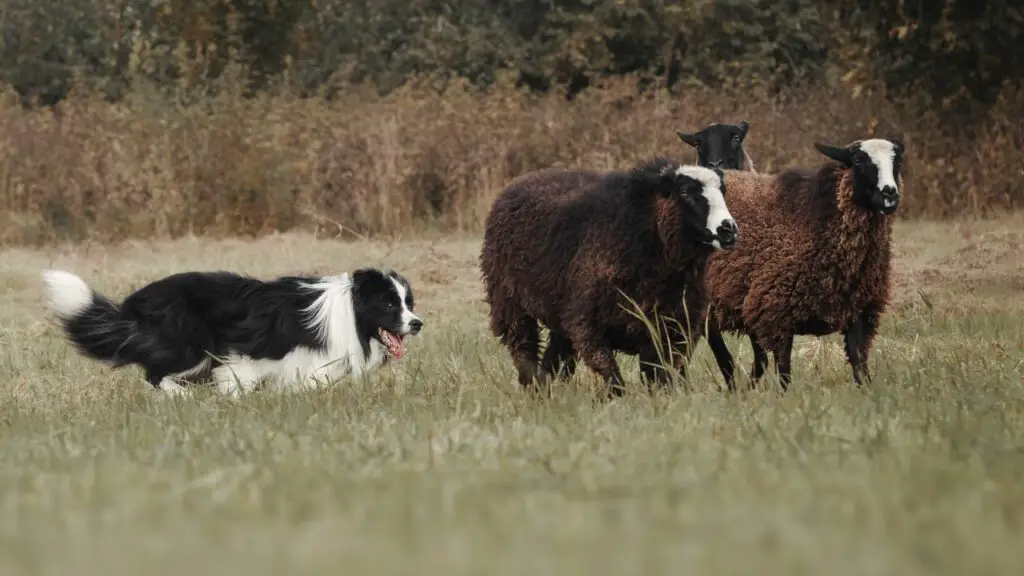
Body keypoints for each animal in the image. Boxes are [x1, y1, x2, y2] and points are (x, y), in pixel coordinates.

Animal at [40, 268, 423, 393]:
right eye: (390, 305)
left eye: (408, 302)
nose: (418, 323)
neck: (350, 313)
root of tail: (133, 304)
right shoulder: (253, 354)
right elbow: (243, 378)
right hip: (189, 345)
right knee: (155, 376)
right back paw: (182, 397)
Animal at [477, 158, 737, 397]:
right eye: (685, 192)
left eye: (723, 191)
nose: (729, 230)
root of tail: (521, 179)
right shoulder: (587, 324)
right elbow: (613, 378)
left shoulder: (672, 330)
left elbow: (659, 378)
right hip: (510, 302)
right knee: (523, 347)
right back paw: (532, 389)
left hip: (562, 314)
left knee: (555, 358)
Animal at [700, 139, 909, 389]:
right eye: (858, 160)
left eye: (897, 160)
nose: (890, 194)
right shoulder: (776, 313)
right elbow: (784, 373)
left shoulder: (859, 311)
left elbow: (860, 367)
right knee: (720, 347)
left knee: (757, 358)